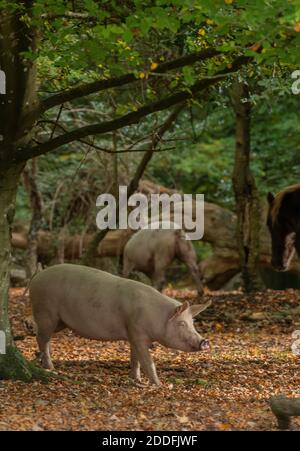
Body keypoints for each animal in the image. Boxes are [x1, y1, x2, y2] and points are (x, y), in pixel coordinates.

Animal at [29, 264, 210, 384]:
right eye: (181, 324)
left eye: (192, 323)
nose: (205, 341)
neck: (156, 315)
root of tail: (37, 276)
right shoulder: (137, 331)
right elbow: (147, 360)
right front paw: (159, 385)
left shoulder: (133, 334)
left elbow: (135, 358)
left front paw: (136, 380)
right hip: (45, 310)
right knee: (42, 338)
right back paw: (50, 367)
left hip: (60, 321)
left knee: (42, 334)